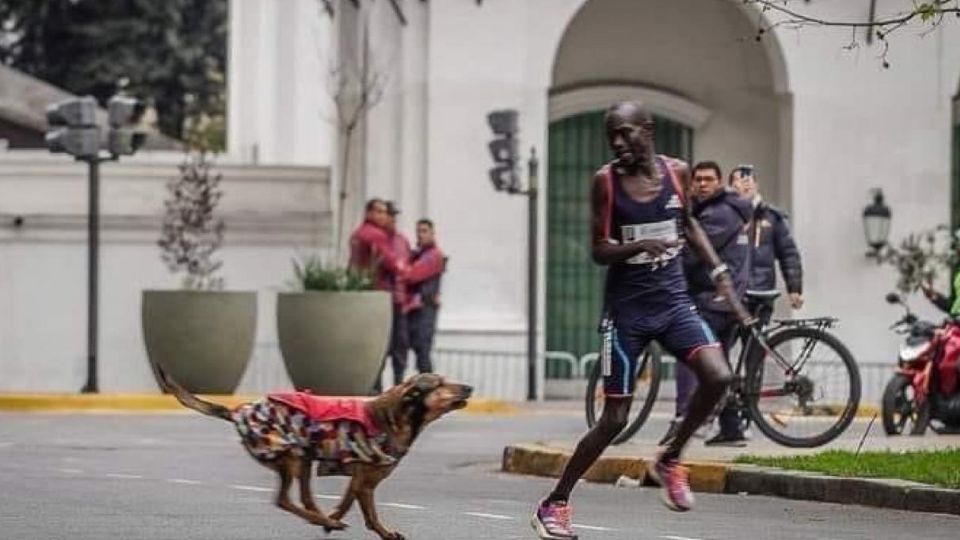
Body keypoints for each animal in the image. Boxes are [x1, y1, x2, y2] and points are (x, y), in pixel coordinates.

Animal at [156, 362, 470, 540]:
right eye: (440, 384)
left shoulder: (360, 480)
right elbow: (367, 513)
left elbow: (352, 505)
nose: (469, 386)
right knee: (284, 500)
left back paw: (321, 517)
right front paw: (375, 530)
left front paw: (339, 521)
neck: (396, 417)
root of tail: (240, 411)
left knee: (305, 498)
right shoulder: (366, 481)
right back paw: (321, 518)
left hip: (304, 457)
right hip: (291, 456)